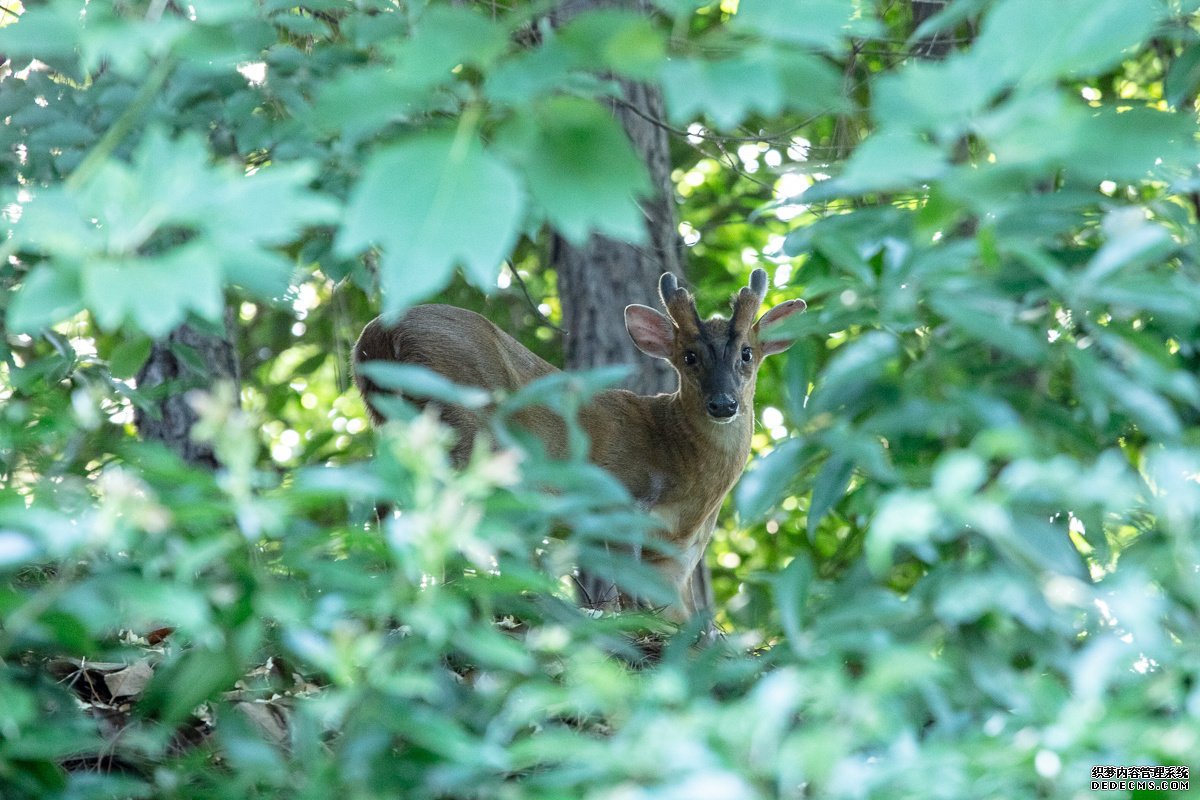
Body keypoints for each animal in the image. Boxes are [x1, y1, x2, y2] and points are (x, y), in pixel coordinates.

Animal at [355, 268, 806, 618]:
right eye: (689, 356)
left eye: (747, 353)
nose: (723, 403)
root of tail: (379, 334)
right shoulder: (623, 503)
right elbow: (632, 600)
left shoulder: (678, 553)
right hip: (462, 425)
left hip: (389, 420)